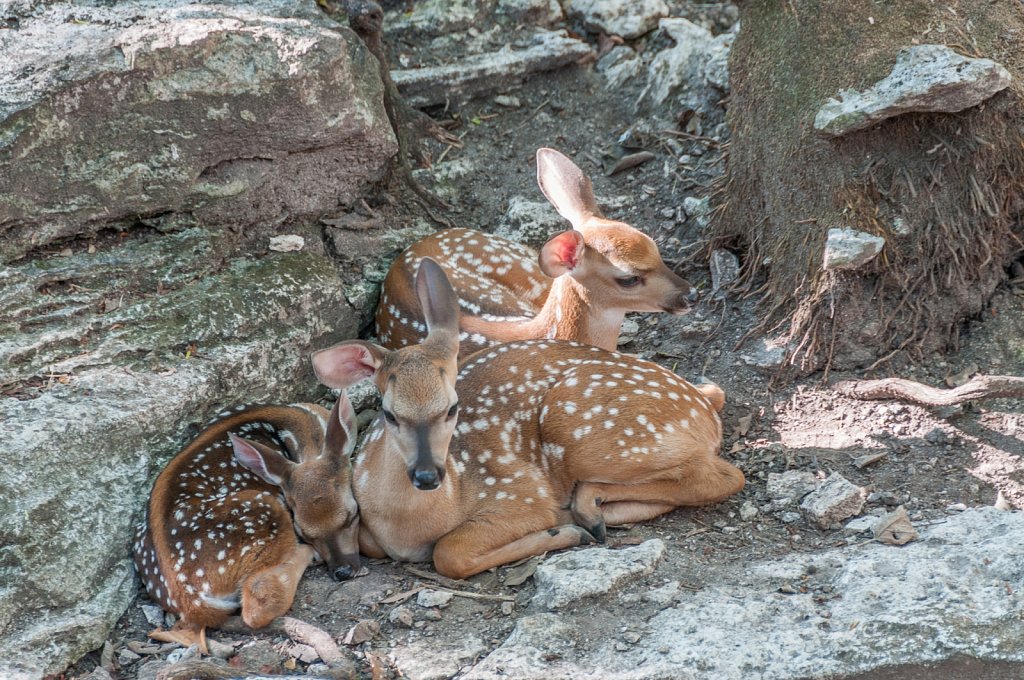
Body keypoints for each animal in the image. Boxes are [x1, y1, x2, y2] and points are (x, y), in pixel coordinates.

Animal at [132, 397, 361, 653]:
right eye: (304, 531)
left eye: (352, 516)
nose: (342, 571)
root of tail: (187, 597)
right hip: (263, 508)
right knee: (256, 602)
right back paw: (306, 556)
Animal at [313, 258, 744, 580]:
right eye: (389, 413)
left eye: (453, 407)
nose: (426, 475)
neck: (407, 526)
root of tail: (704, 410)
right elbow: (376, 543)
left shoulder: (518, 493)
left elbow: (449, 553)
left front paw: (558, 532)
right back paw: (591, 511)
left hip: (588, 430)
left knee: (722, 476)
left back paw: (583, 512)